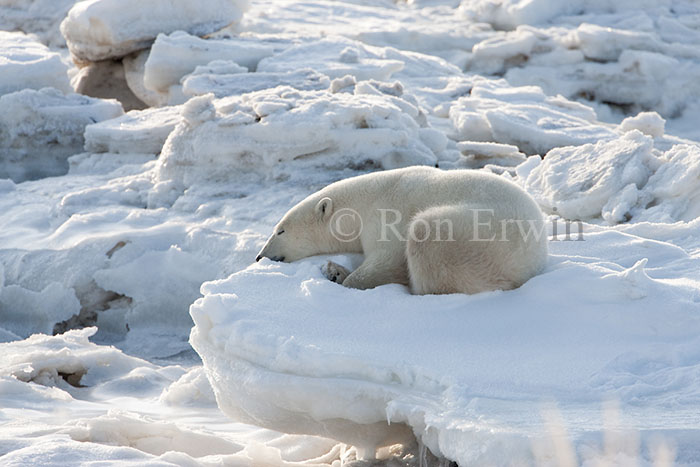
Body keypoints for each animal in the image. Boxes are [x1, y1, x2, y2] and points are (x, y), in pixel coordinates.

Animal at [256, 166, 548, 295]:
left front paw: (343, 277)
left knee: (426, 237)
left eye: (280, 231)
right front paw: (333, 270)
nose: (259, 256)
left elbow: (387, 260)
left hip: (479, 237)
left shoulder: (386, 215)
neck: (361, 203)